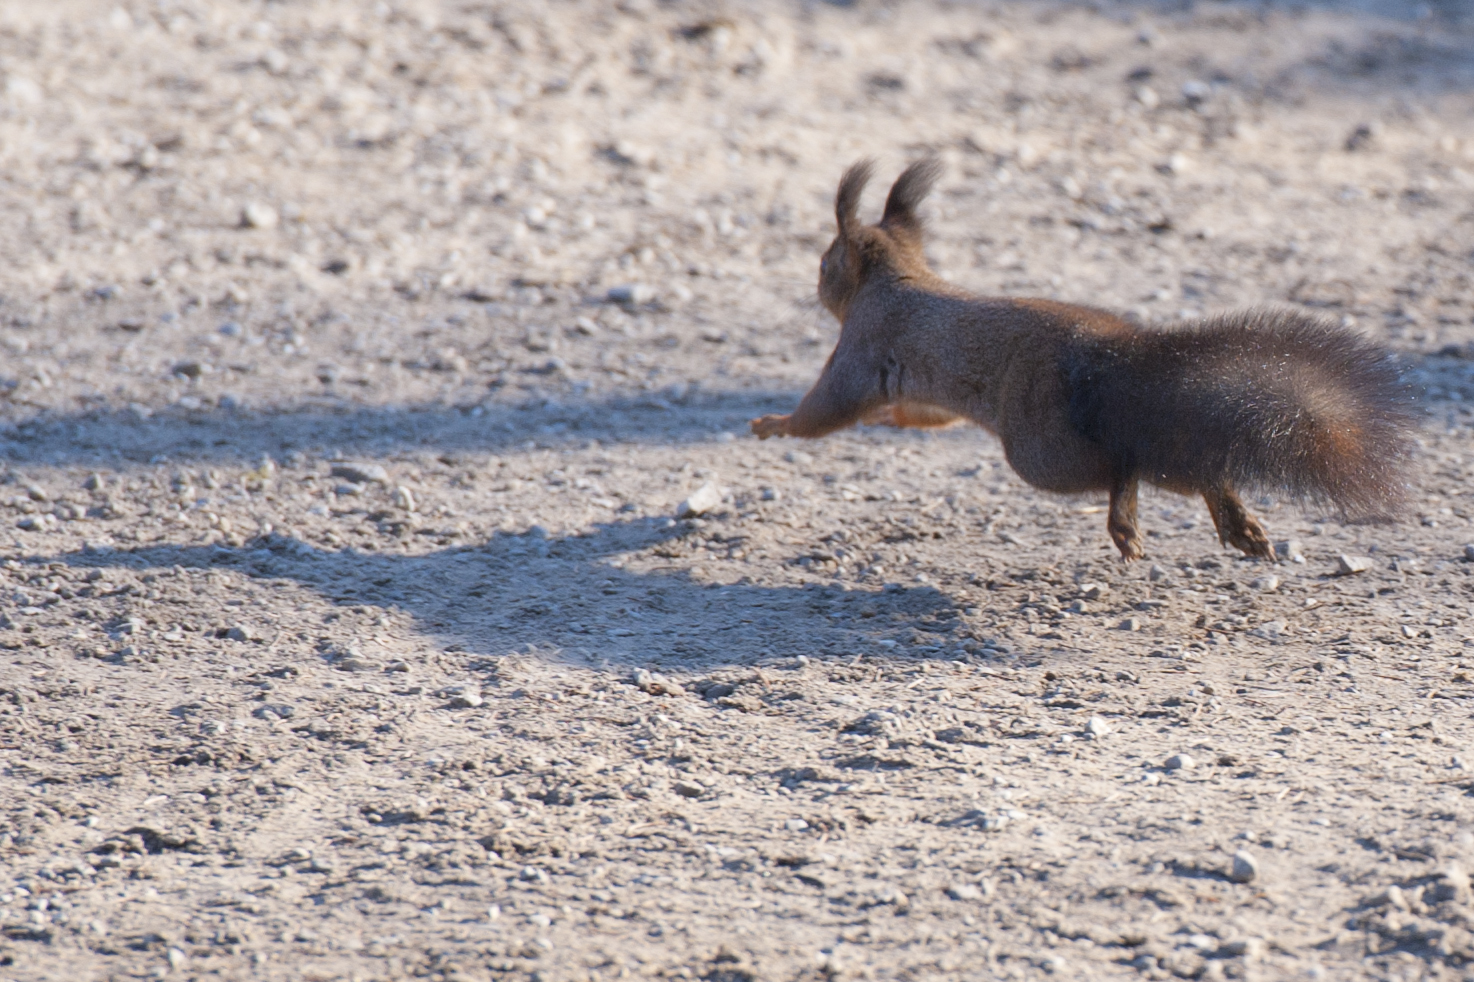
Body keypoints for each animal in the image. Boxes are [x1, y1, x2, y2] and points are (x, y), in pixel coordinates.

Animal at [754, 160, 1420, 557]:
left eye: (824, 262)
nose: (814, 286)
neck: (898, 275)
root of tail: (1110, 358)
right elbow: (922, 414)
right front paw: (889, 421)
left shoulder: (861, 347)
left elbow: (825, 411)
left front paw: (774, 424)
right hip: (1142, 434)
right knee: (1190, 465)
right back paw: (1239, 525)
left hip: (1040, 450)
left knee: (1121, 467)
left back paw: (1125, 522)